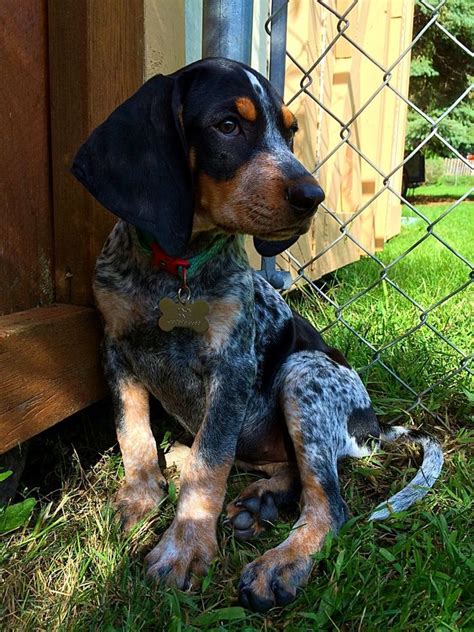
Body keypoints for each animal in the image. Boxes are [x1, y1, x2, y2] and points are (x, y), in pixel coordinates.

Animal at [71, 59, 444, 612]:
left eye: (290, 133)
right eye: (228, 125)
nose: (313, 197)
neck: (175, 268)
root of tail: (372, 424)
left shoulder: (232, 368)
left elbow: (209, 468)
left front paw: (184, 548)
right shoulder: (116, 350)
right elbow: (133, 434)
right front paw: (139, 498)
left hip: (304, 376)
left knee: (327, 501)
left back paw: (280, 562)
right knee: (272, 466)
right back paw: (249, 494)